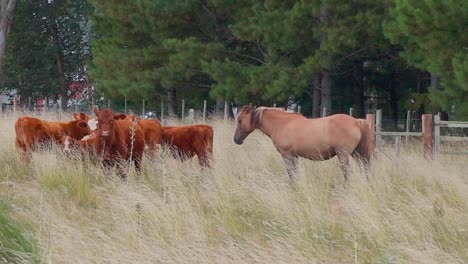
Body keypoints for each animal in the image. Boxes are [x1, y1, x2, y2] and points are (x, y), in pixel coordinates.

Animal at [233, 105, 372, 182]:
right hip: (357, 154)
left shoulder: (287, 155)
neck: (281, 124)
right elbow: (295, 173)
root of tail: (356, 121)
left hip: (343, 155)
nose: (236, 140)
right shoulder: (294, 156)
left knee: (347, 173)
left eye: (240, 120)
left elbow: (291, 173)